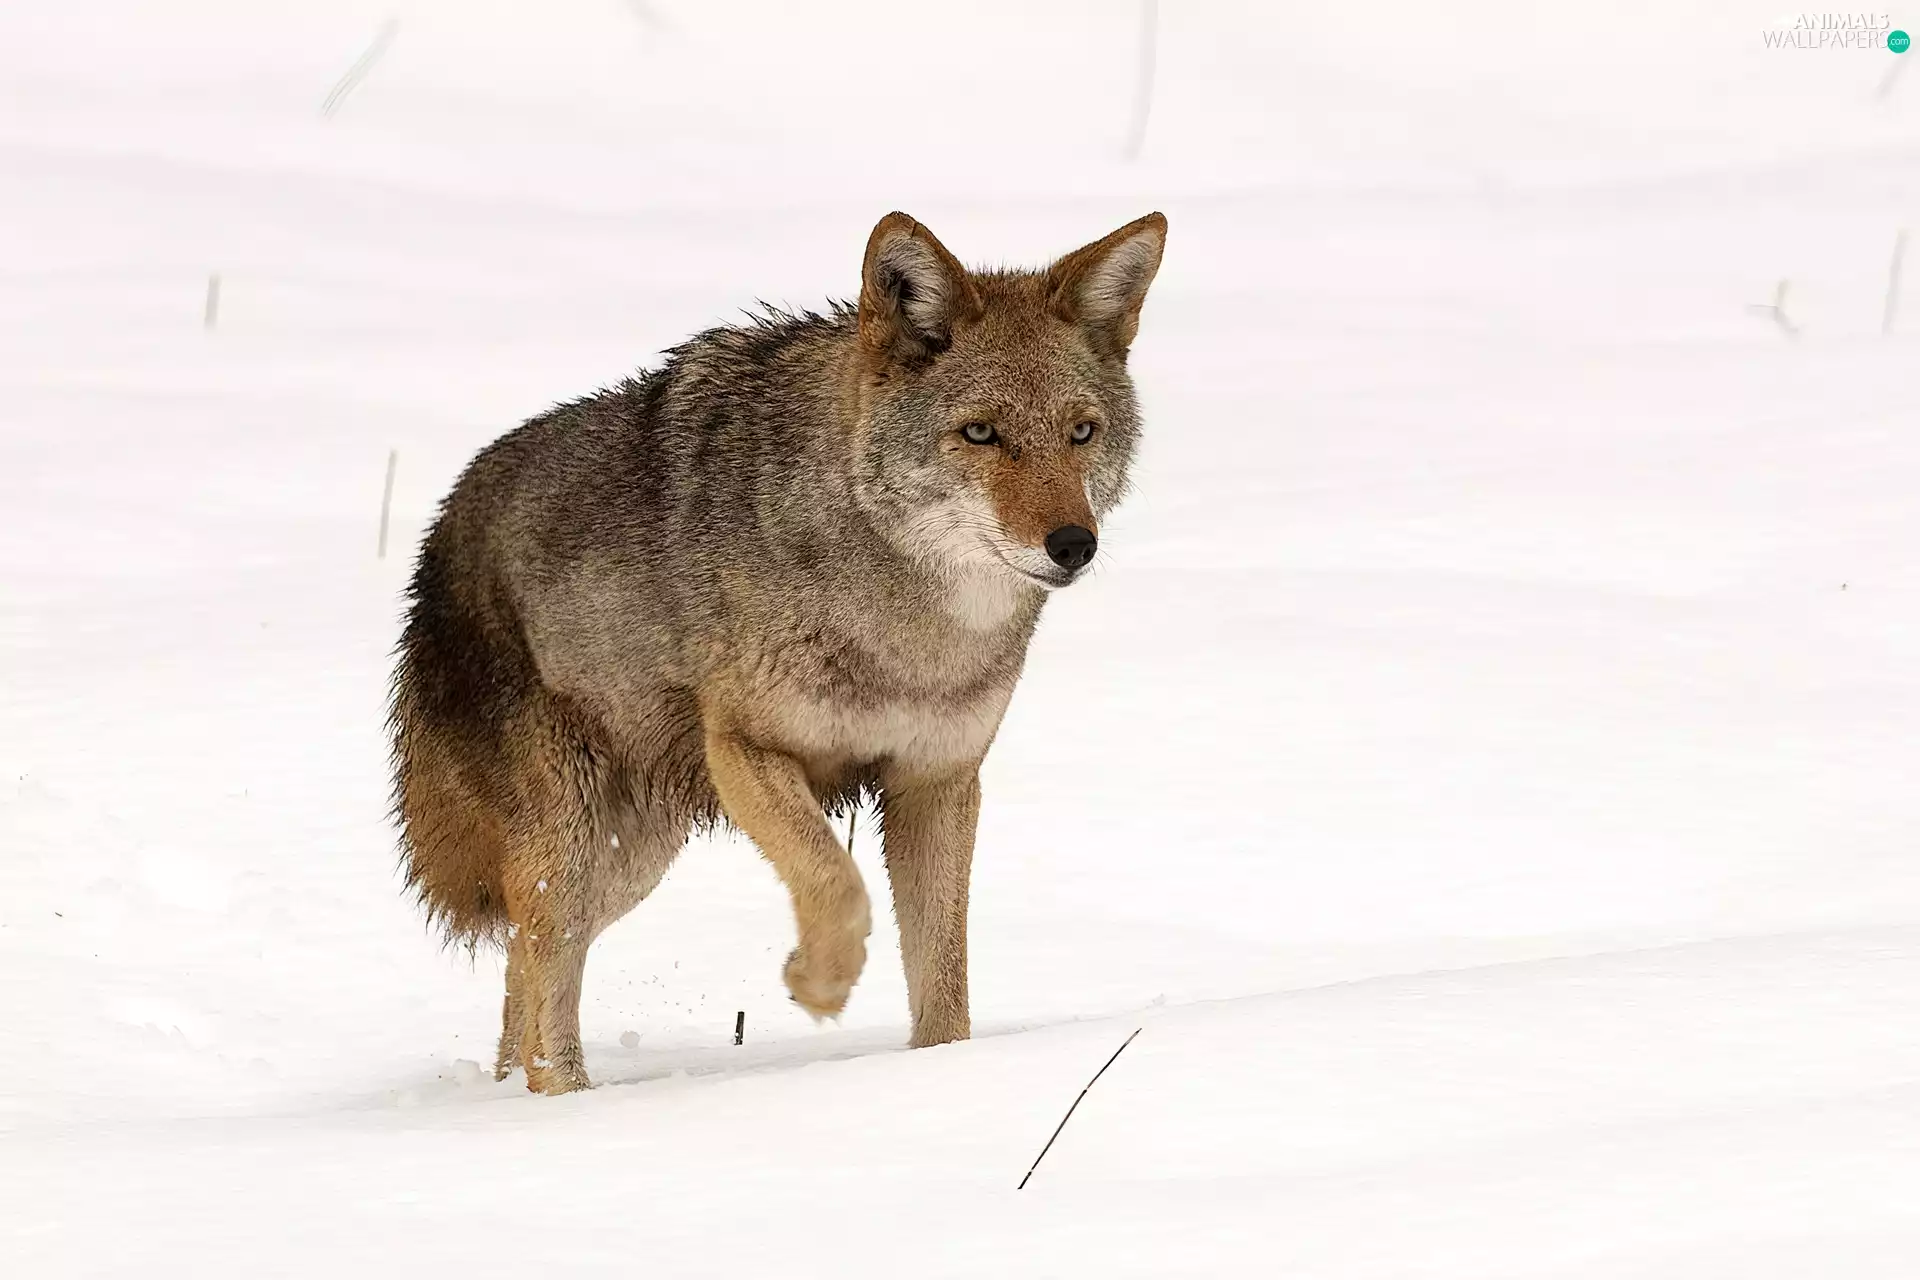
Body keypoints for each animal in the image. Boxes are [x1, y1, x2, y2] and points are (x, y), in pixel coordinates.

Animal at [389, 211, 1166, 1093]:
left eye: (1081, 433)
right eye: (981, 433)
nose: (1073, 544)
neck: (908, 632)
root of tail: (439, 533)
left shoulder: (937, 785)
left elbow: (945, 979)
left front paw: (942, 1077)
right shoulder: (747, 749)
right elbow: (836, 881)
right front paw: (819, 983)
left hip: (629, 861)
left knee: (524, 968)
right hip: (578, 844)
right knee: (543, 974)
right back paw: (567, 1106)